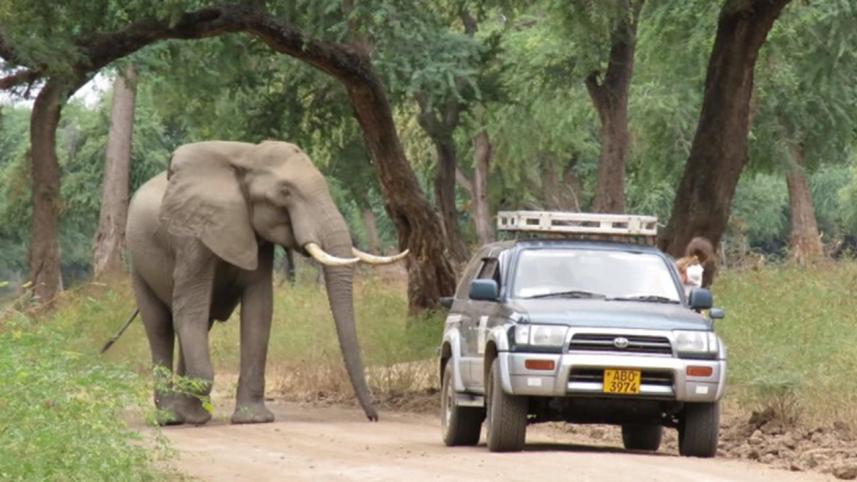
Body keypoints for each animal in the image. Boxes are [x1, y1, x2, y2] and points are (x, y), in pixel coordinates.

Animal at [125, 140, 406, 425]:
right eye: (285, 192)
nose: (373, 417)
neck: (246, 154)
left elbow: (258, 310)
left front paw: (253, 420)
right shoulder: (193, 237)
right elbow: (189, 309)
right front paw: (205, 413)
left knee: (198, 326)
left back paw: (190, 415)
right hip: (138, 264)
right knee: (161, 326)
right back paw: (171, 419)